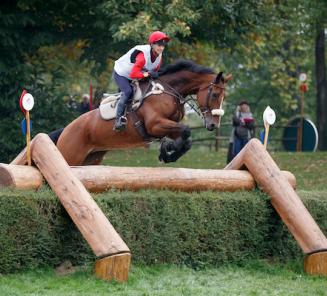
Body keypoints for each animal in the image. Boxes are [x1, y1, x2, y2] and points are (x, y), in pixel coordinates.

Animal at [53, 59, 232, 166]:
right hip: (70, 156)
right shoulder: (155, 125)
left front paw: (168, 152)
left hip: (91, 158)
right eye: (215, 94)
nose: (213, 125)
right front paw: (168, 151)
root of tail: (66, 130)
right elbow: (186, 130)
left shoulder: (168, 126)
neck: (168, 90)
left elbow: (186, 139)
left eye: (224, 97)